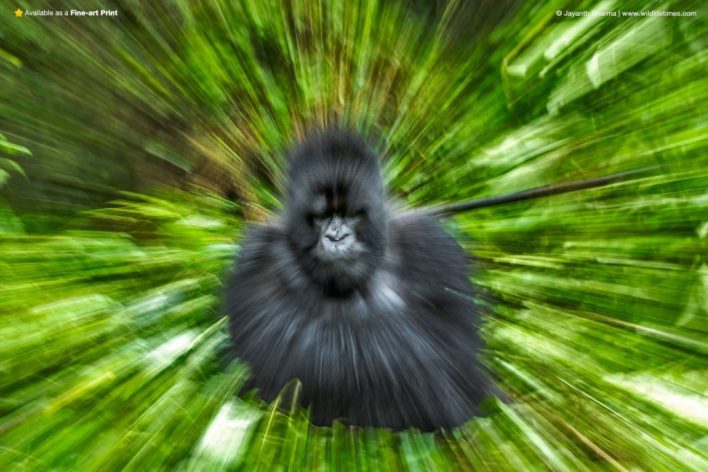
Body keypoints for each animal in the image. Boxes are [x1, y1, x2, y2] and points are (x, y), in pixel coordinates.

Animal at [225, 129, 494, 431]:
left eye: (351, 213)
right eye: (322, 216)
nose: (336, 237)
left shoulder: (432, 244)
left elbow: (450, 350)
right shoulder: (257, 255)